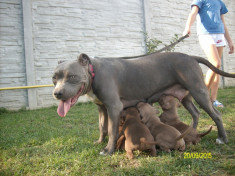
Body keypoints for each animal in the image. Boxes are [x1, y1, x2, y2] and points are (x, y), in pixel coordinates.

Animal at [52, 51, 235, 155]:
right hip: (186, 96)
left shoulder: (113, 107)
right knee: (195, 113)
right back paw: (190, 132)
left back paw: (222, 138)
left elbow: (111, 130)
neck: (93, 72)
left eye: (72, 76)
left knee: (216, 114)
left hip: (199, 91)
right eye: (54, 78)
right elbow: (102, 127)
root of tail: (191, 57)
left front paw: (108, 150)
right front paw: (100, 142)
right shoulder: (102, 108)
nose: (57, 93)